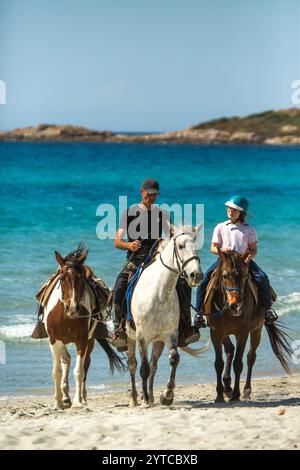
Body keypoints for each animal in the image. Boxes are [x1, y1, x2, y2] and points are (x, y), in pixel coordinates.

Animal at [43, 246, 125, 408]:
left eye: (80, 279)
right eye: (62, 278)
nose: (73, 307)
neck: (66, 316)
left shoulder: (82, 339)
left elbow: (79, 371)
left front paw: (77, 401)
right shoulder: (53, 339)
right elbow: (57, 370)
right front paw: (58, 402)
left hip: (90, 341)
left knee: (85, 366)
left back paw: (82, 398)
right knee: (66, 359)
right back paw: (65, 397)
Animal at [126, 226, 206, 406]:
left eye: (196, 246)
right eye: (181, 246)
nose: (196, 275)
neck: (159, 293)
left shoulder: (171, 335)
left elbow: (174, 359)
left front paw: (167, 395)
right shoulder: (141, 337)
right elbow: (143, 368)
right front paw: (144, 400)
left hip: (158, 341)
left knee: (153, 365)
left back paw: (151, 395)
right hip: (130, 338)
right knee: (133, 364)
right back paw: (135, 398)